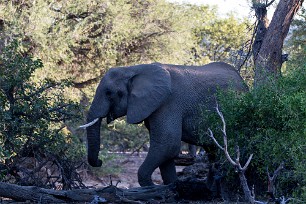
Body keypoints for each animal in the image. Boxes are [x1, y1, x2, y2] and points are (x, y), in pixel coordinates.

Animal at [80, 61, 246, 186]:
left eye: (109, 93)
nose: (100, 161)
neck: (133, 69)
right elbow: (165, 151)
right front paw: (172, 186)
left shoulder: (168, 103)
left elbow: (167, 144)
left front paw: (152, 187)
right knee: (213, 151)